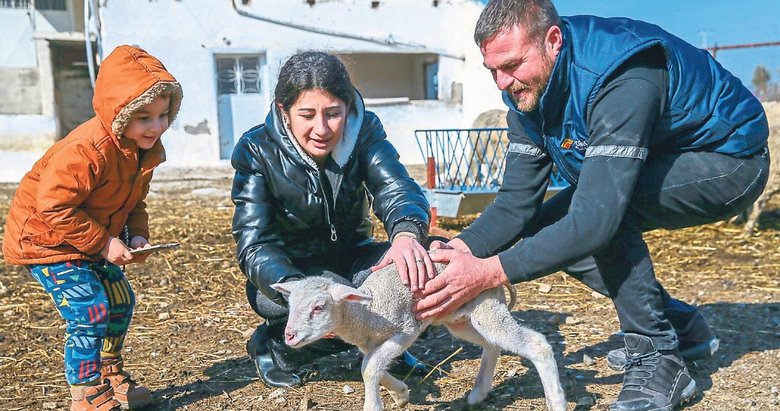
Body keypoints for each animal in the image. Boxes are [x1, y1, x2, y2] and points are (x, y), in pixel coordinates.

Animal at [272, 264, 568, 411]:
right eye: (290, 304)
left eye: (318, 307)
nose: (289, 336)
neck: (368, 311)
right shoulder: (369, 343)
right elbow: (370, 366)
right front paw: (401, 393)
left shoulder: (405, 329)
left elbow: (369, 369)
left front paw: (374, 405)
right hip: (461, 320)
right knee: (492, 345)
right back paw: (478, 393)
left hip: (487, 306)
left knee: (536, 344)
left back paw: (557, 401)